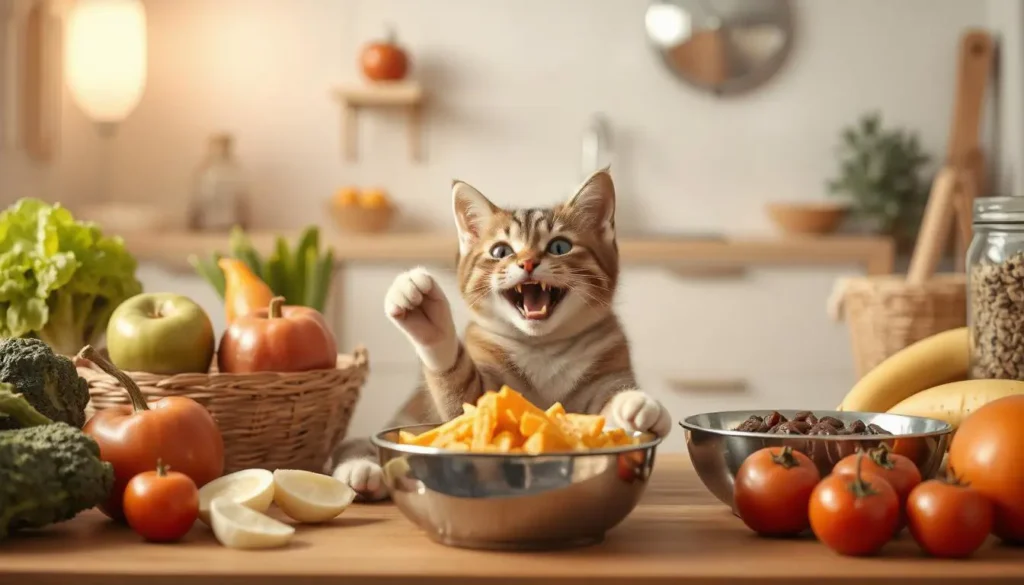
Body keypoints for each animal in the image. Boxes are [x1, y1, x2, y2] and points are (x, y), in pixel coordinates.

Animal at [331, 168, 675, 499]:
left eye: (559, 246)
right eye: (500, 251)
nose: (528, 262)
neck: (543, 348)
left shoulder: (610, 371)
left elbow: (606, 414)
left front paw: (636, 406)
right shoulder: (478, 396)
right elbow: (460, 395)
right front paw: (426, 315)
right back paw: (361, 471)